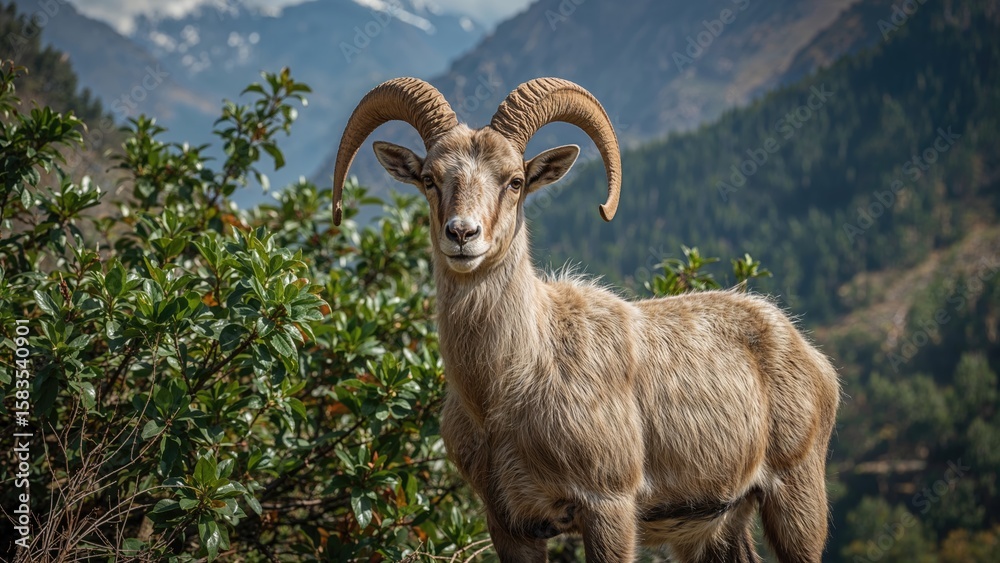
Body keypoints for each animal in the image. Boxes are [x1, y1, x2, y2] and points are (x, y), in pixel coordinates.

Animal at [330, 77, 840, 563]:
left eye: (515, 180)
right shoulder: (510, 522)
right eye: (430, 178)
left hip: (797, 493)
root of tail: (813, 358)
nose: (462, 234)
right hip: (713, 525)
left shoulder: (608, 504)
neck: (507, 388)